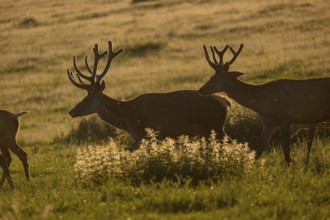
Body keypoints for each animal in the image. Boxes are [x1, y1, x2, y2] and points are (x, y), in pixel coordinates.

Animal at [67, 40, 232, 149]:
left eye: (86, 98)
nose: (71, 111)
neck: (127, 117)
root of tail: (225, 101)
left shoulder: (147, 134)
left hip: (214, 125)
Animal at [199, 43, 330, 164]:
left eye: (213, 78)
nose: (201, 90)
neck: (262, 103)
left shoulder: (285, 120)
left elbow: (287, 153)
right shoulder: (268, 124)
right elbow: (258, 151)